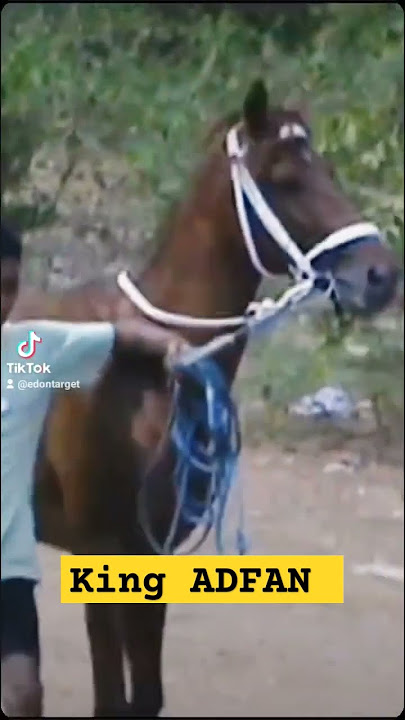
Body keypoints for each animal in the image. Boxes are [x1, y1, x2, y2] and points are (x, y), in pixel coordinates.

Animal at [11, 79, 400, 717]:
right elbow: (112, 698)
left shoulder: (151, 550)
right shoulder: (99, 548)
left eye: (329, 169)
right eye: (284, 177)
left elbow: (146, 695)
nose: (381, 276)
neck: (150, 373)